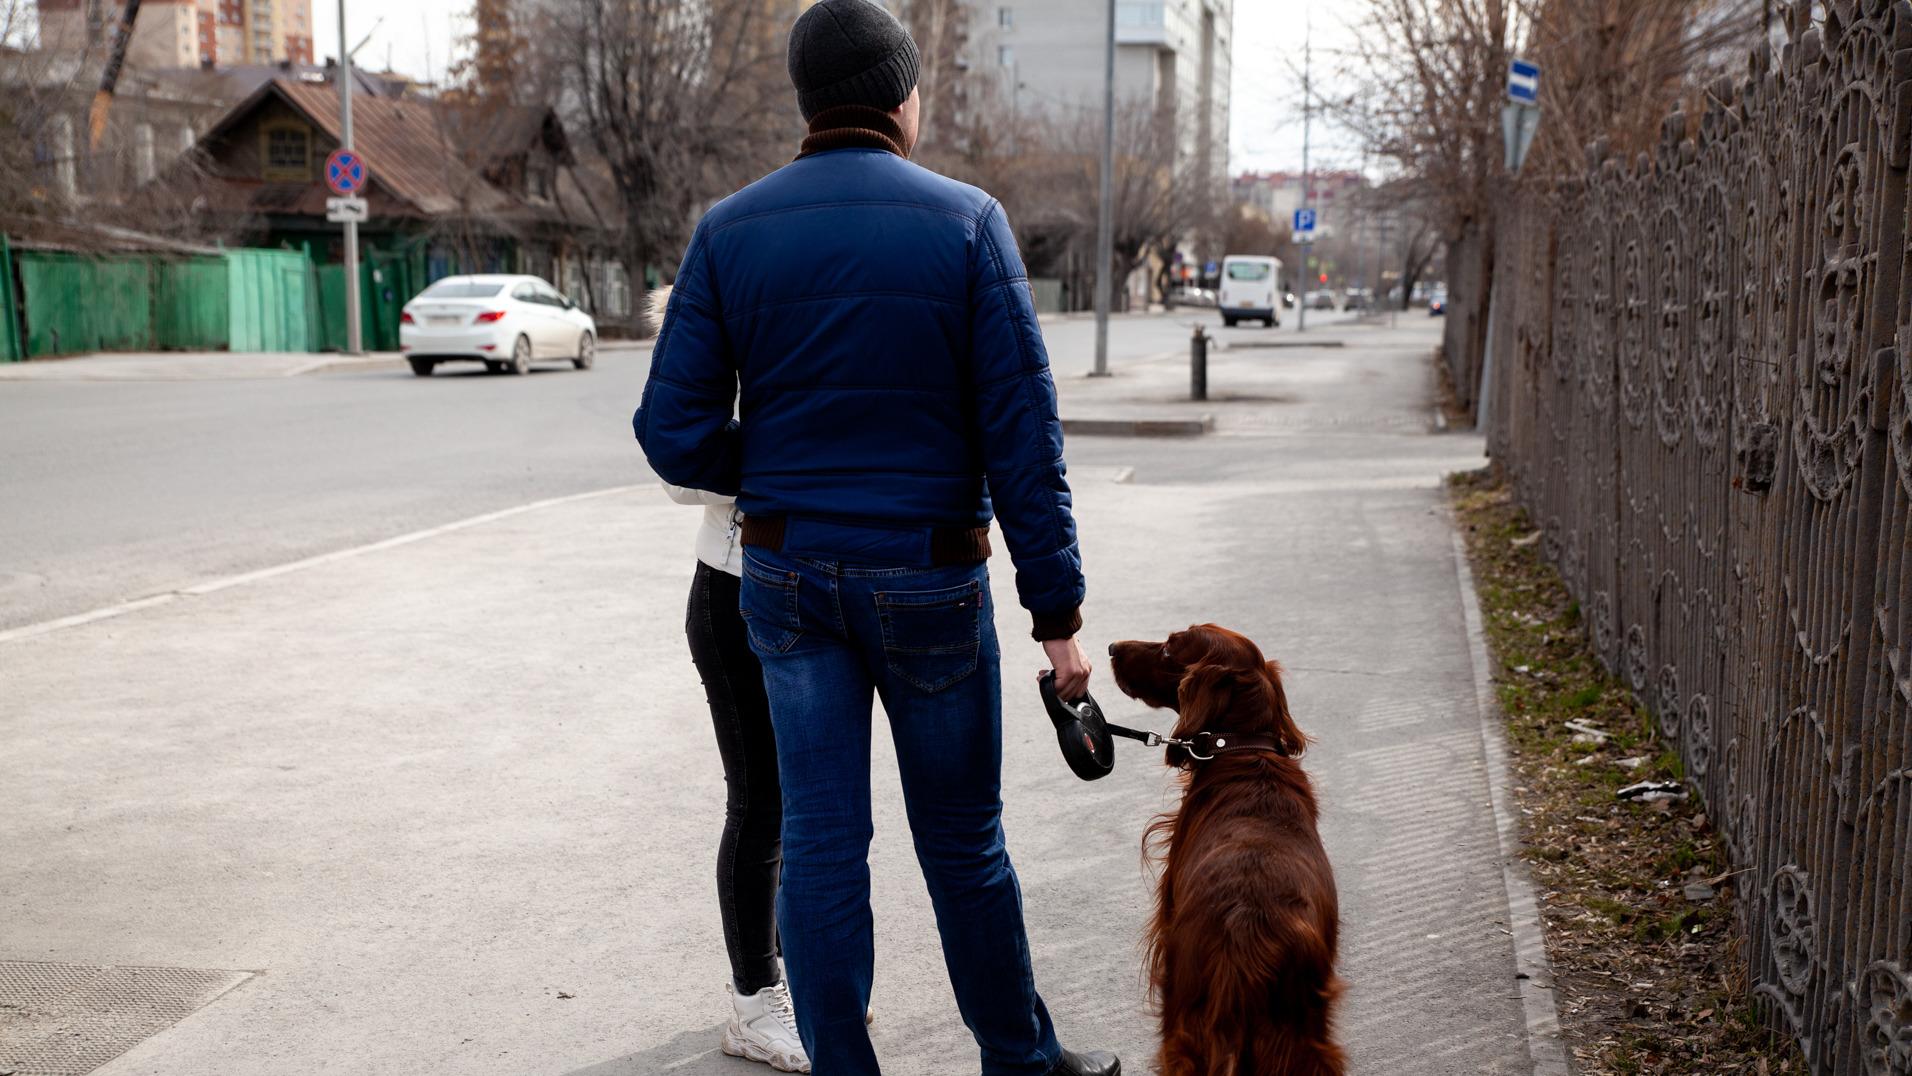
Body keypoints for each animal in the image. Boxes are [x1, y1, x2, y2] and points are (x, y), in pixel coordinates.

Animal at [1108, 626, 1346, 1076]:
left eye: (1169, 648)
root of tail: (1246, 933)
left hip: (1184, 1028)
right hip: (1303, 1043)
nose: (1112, 647)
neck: (1243, 749)